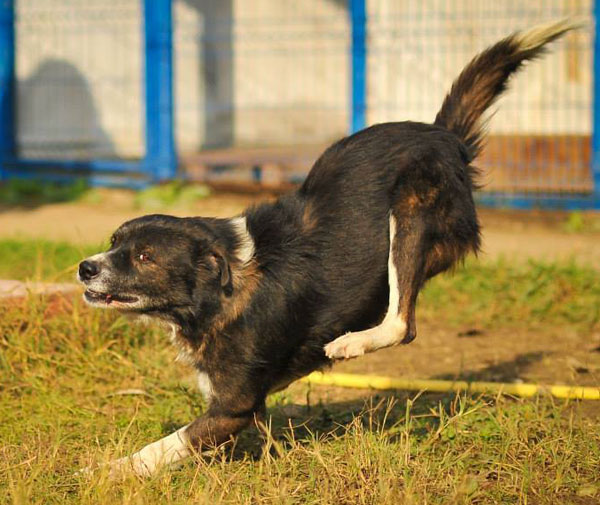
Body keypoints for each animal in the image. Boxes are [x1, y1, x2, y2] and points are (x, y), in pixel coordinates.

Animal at [77, 19, 576, 476]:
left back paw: (352, 343)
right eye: (114, 242)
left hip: (409, 208)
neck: (220, 287)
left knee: (403, 323)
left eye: (145, 257)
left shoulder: (235, 407)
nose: (85, 267)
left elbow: (162, 446)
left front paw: (105, 471)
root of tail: (444, 134)